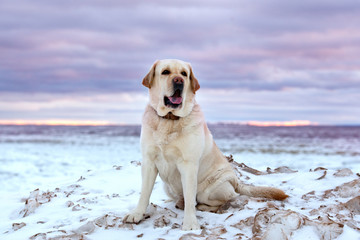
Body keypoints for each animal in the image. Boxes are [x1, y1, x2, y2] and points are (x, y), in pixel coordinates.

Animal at [124, 59, 286, 230]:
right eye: (165, 72)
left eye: (184, 74)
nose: (179, 81)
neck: (169, 120)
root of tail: (236, 181)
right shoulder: (149, 161)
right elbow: (144, 193)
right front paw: (137, 214)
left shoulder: (188, 165)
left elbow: (190, 198)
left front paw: (190, 223)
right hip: (167, 187)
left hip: (211, 189)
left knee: (225, 199)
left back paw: (202, 206)